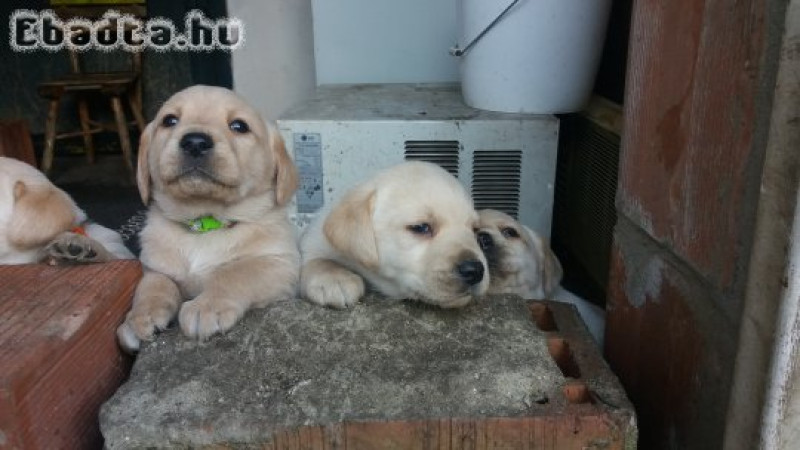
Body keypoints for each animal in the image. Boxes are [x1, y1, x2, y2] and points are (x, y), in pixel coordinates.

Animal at [119, 85, 304, 352]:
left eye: (239, 126)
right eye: (169, 120)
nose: (195, 142)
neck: (204, 224)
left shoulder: (280, 263)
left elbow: (235, 273)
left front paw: (206, 306)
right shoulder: (155, 267)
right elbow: (152, 286)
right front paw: (139, 317)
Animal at [298, 161, 488, 310]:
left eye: (475, 230)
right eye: (421, 227)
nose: (475, 270)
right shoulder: (313, 238)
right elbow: (318, 260)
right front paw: (334, 279)